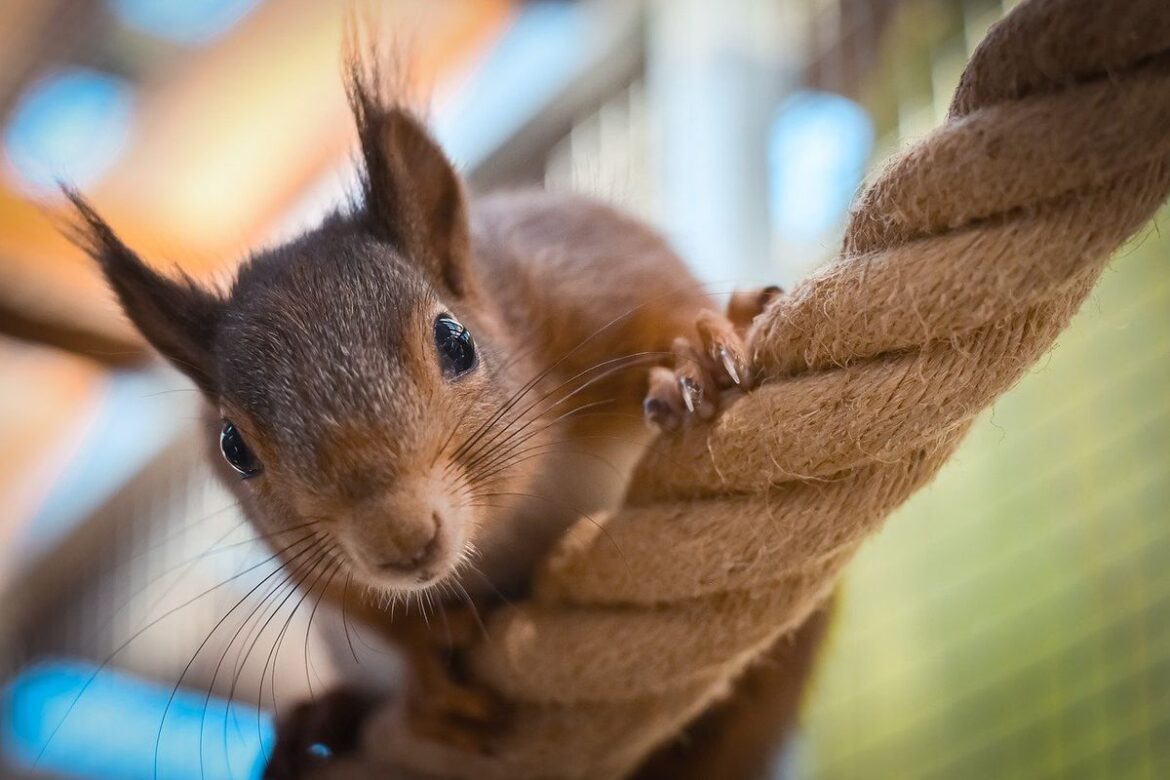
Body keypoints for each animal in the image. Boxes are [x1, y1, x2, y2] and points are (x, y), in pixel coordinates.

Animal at [70, 53, 823, 780]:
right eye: (234, 448)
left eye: (456, 341)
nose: (400, 540)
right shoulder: (302, 552)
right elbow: (358, 601)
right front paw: (428, 672)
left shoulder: (587, 271)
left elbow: (666, 303)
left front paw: (698, 352)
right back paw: (321, 725)